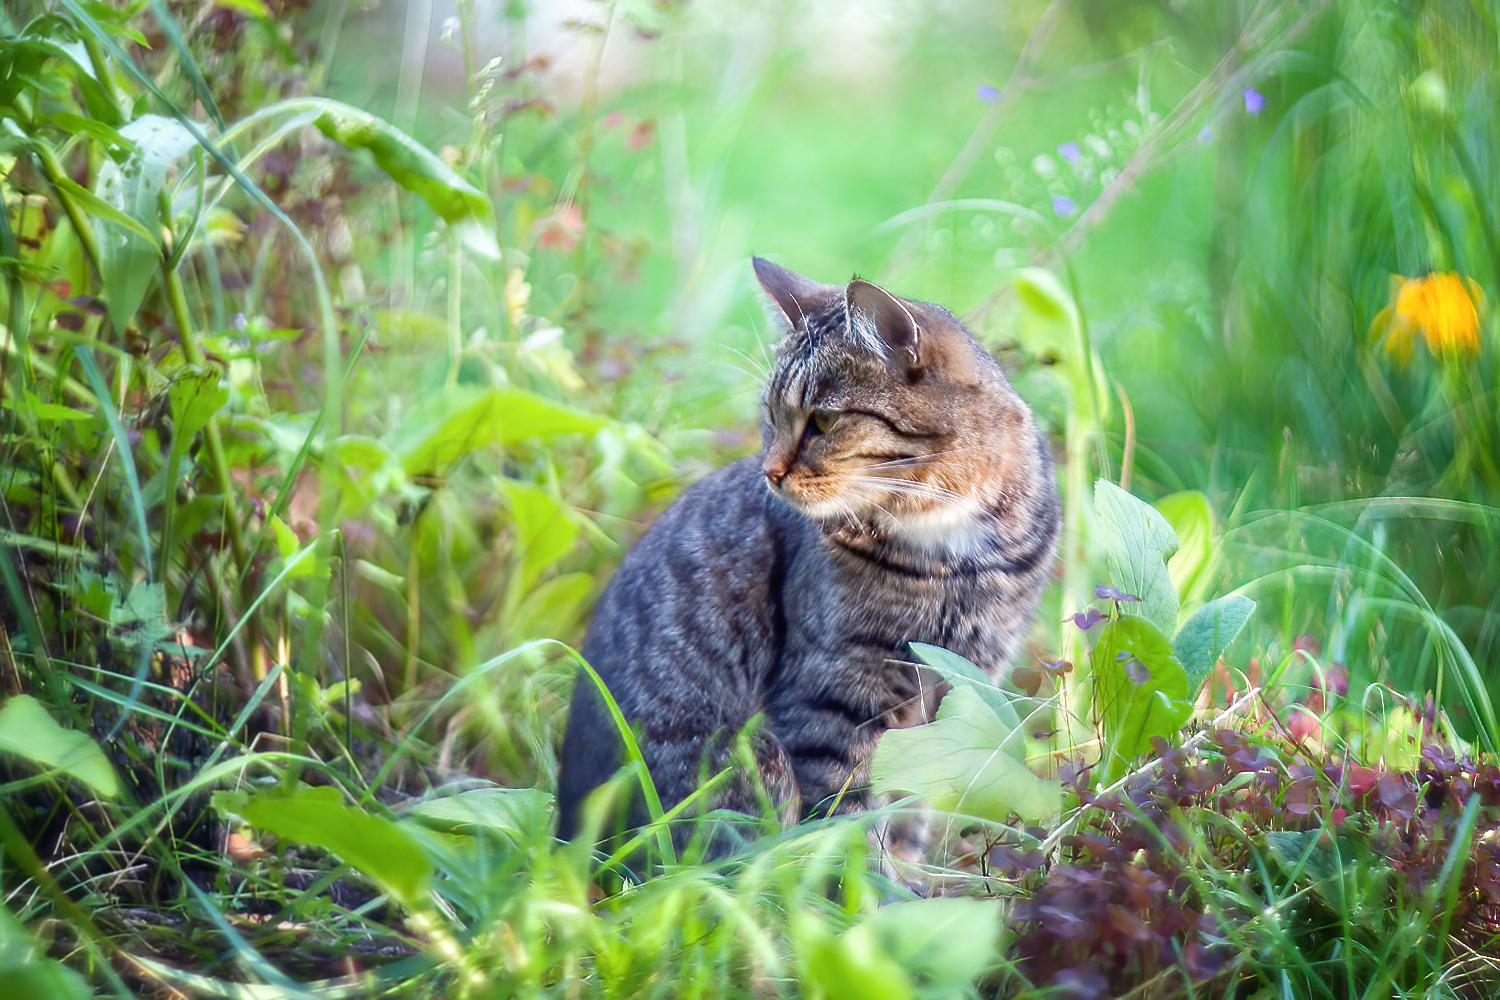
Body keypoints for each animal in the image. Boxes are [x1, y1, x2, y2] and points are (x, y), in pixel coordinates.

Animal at [558, 260, 1062, 851]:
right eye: (770, 417)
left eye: (822, 421)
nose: (769, 473)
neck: (948, 550)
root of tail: (569, 829)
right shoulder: (831, 692)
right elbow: (847, 819)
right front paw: (865, 874)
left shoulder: (962, 681)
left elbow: (910, 809)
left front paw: (909, 874)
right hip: (752, 757)